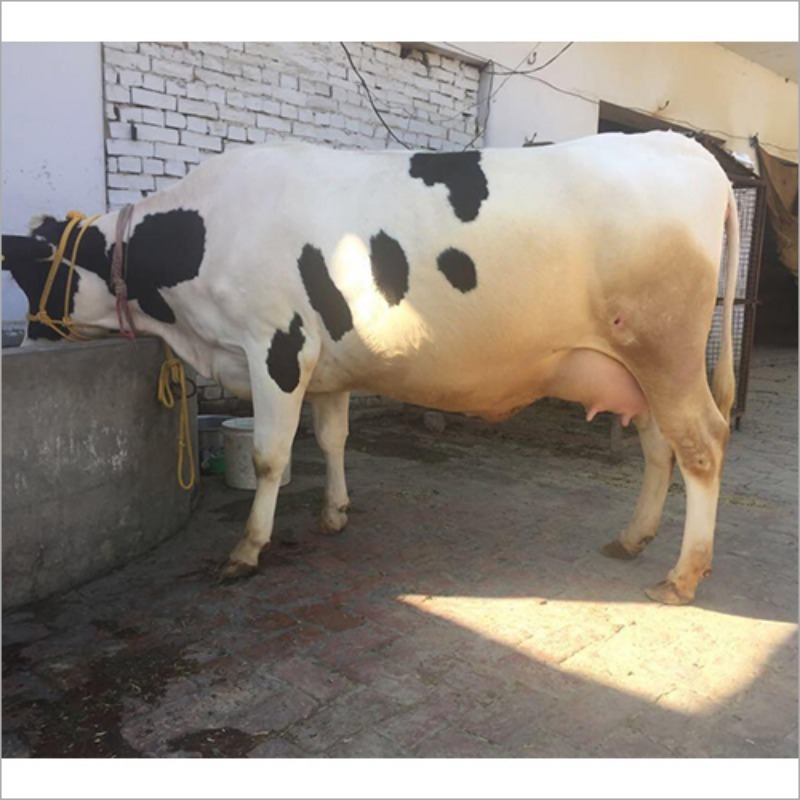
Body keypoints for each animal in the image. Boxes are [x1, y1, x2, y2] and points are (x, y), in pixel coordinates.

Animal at [2, 131, 739, 605]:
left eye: (30, 273)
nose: (29, 342)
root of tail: (687, 147)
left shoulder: (276, 348)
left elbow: (271, 457)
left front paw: (247, 550)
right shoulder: (326, 364)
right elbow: (332, 438)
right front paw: (335, 512)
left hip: (666, 351)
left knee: (701, 444)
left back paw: (682, 576)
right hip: (638, 367)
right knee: (659, 447)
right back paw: (633, 538)